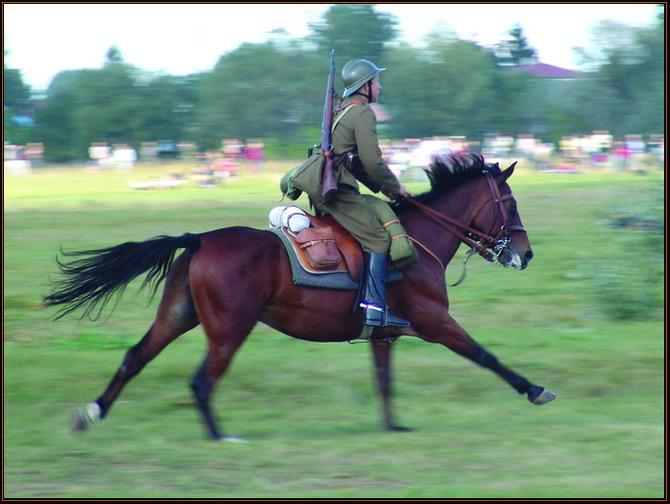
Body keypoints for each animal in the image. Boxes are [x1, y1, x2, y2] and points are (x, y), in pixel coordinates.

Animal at [43, 154, 556, 440]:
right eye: (510, 203)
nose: (526, 253)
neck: (420, 236)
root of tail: (201, 239)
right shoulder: (434, 322)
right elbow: (486, 356)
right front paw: (534, 389)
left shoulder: (384, 335)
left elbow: (383, 379)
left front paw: (393, 426)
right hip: (229, 329)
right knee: (202, 382)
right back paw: (219, 438)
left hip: (179, 315)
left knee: (135, 357)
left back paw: (92, 413)